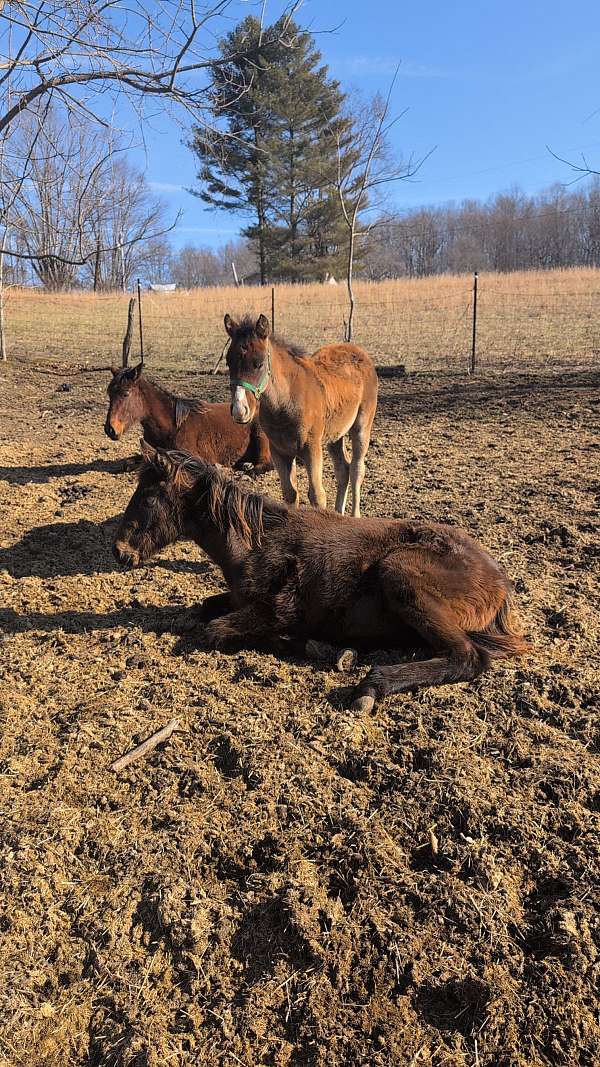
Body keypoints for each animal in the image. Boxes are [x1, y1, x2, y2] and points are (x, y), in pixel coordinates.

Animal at [104, 362, 271, 475]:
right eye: (109, 393)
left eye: (126, 393)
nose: (110, 429)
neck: (171, 426)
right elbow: (129, 463)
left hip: (261, 436)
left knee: (265, 464)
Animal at [114, 446, 525, 712]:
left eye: (148, 498)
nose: (120, 551)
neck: (258, 542)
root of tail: (500, 582)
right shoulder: (239, 599)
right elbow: (205, 608)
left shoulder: (278, 610)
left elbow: (217, 631)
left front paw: (326, 650)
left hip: (400, 574)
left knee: (468, 657)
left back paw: (370, 686)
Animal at [222, 311, 375, 516]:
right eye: (228, 362)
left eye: (259, 364)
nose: (239, 410)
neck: (285, 402)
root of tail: (360, 353)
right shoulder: (279, 451)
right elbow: (290, 494)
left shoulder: (312, 447)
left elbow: (317, 496)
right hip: (335, 434)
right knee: (343, 469)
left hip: (362, 426)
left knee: (357, 469)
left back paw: (355, 516)